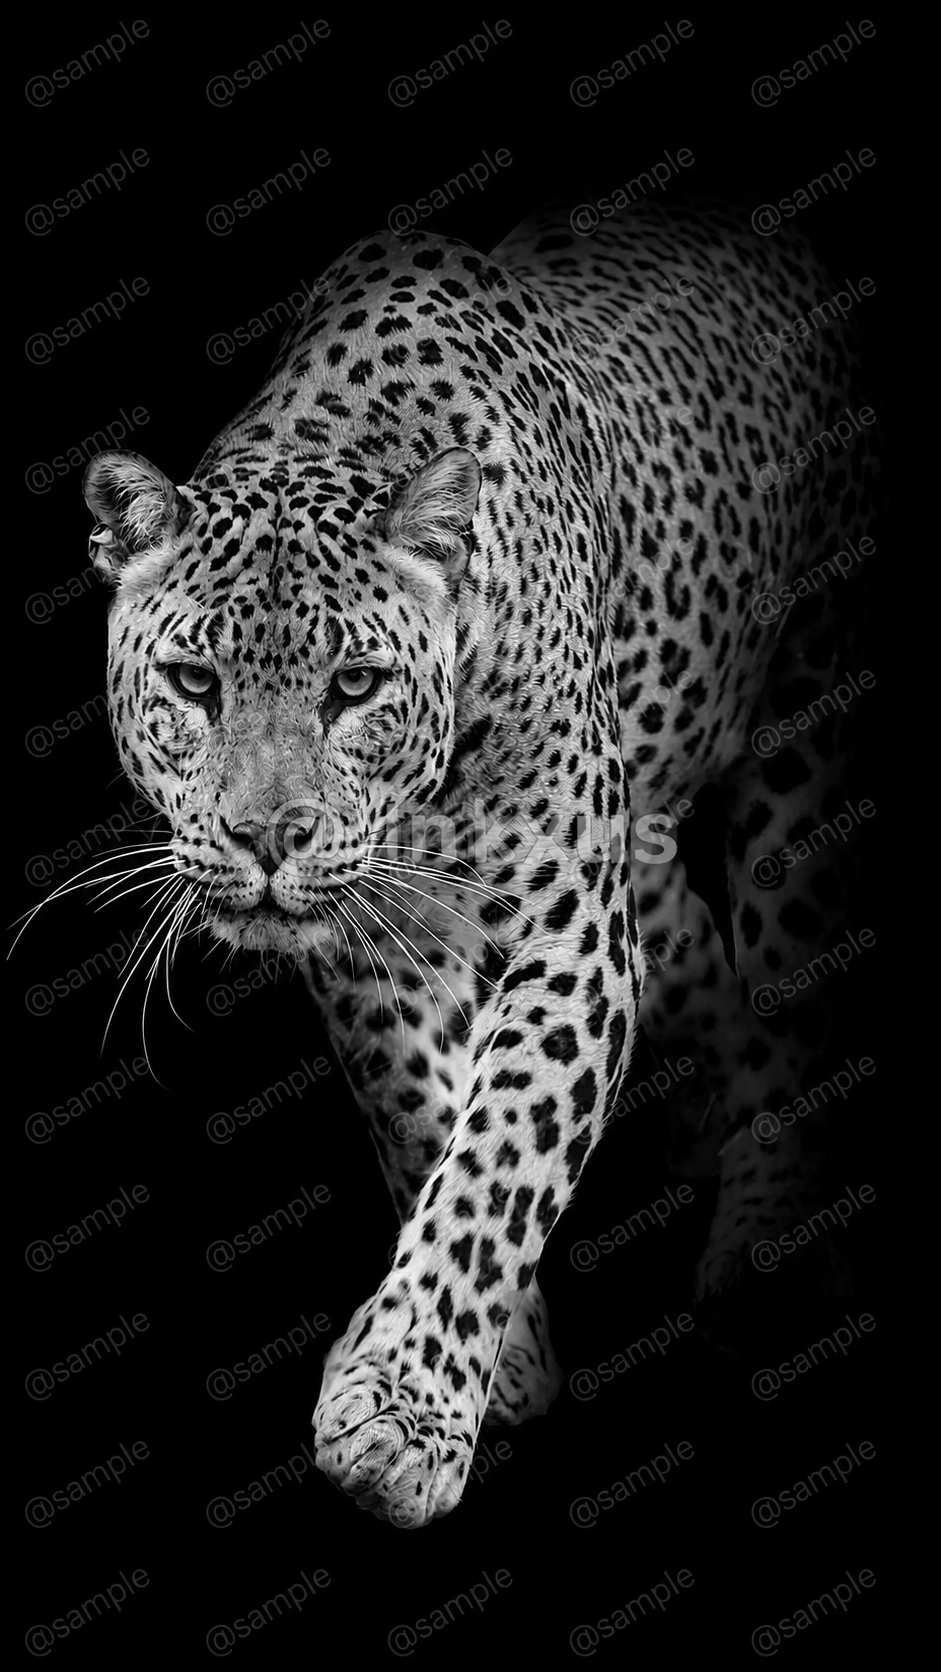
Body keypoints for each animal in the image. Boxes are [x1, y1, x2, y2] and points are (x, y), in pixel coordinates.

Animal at [81, 190, 877, 1528]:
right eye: (194, 681)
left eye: (356, 686)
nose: (265, 836)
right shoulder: (376, 946)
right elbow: (422, 1115)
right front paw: (483, 1362)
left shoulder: (568, 942)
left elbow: (499, 1150)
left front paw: (403, 1416)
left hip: (806, 709)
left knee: (788, 971)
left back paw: (763, 1240)